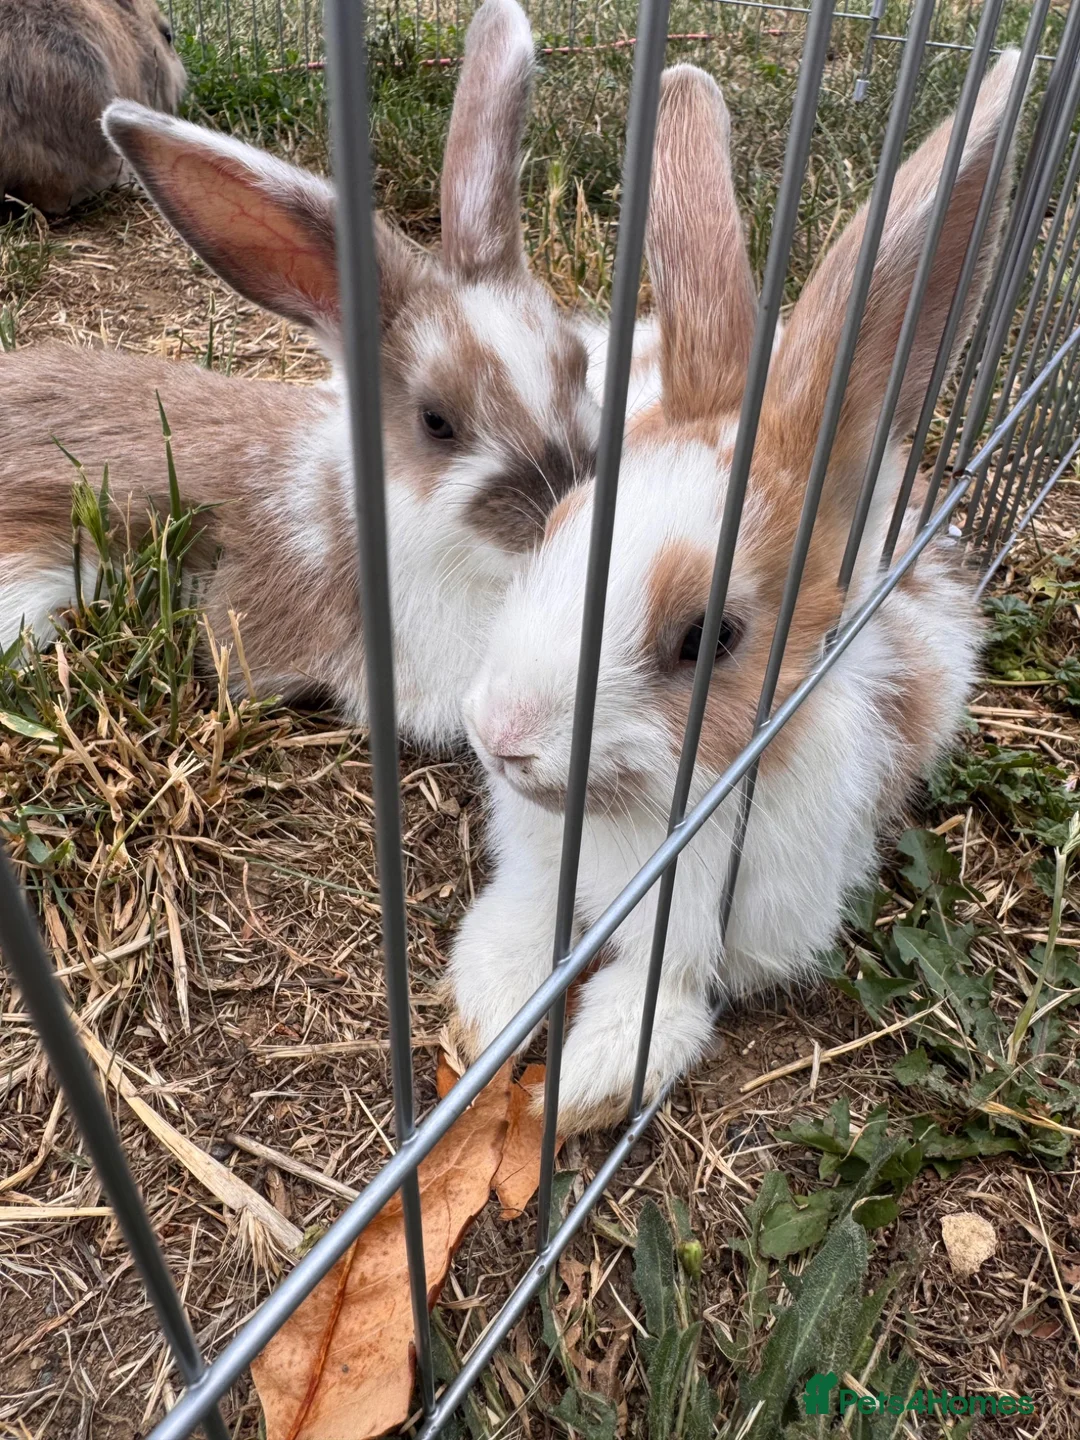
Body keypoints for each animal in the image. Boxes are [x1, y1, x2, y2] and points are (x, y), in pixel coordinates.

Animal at [449, 52, 1021, 1131]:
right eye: (556, 526)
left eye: (707, 638)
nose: (502, 736)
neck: (637, 824)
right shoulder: (539, 869)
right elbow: (520, 924)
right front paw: (485, 1012)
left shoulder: (715, 936)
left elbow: (659, 998)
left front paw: (583, 1087)